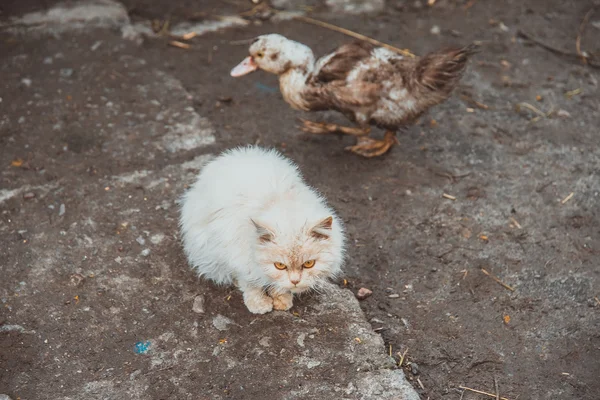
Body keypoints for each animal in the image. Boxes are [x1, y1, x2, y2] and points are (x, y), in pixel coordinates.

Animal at [180, 145, 344, 314]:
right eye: (280, 265)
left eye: (309, 264)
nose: (295, 281)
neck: (275, 201)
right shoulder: (237, 255)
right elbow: (251, 284)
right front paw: (259, 304)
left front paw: (281, 298)